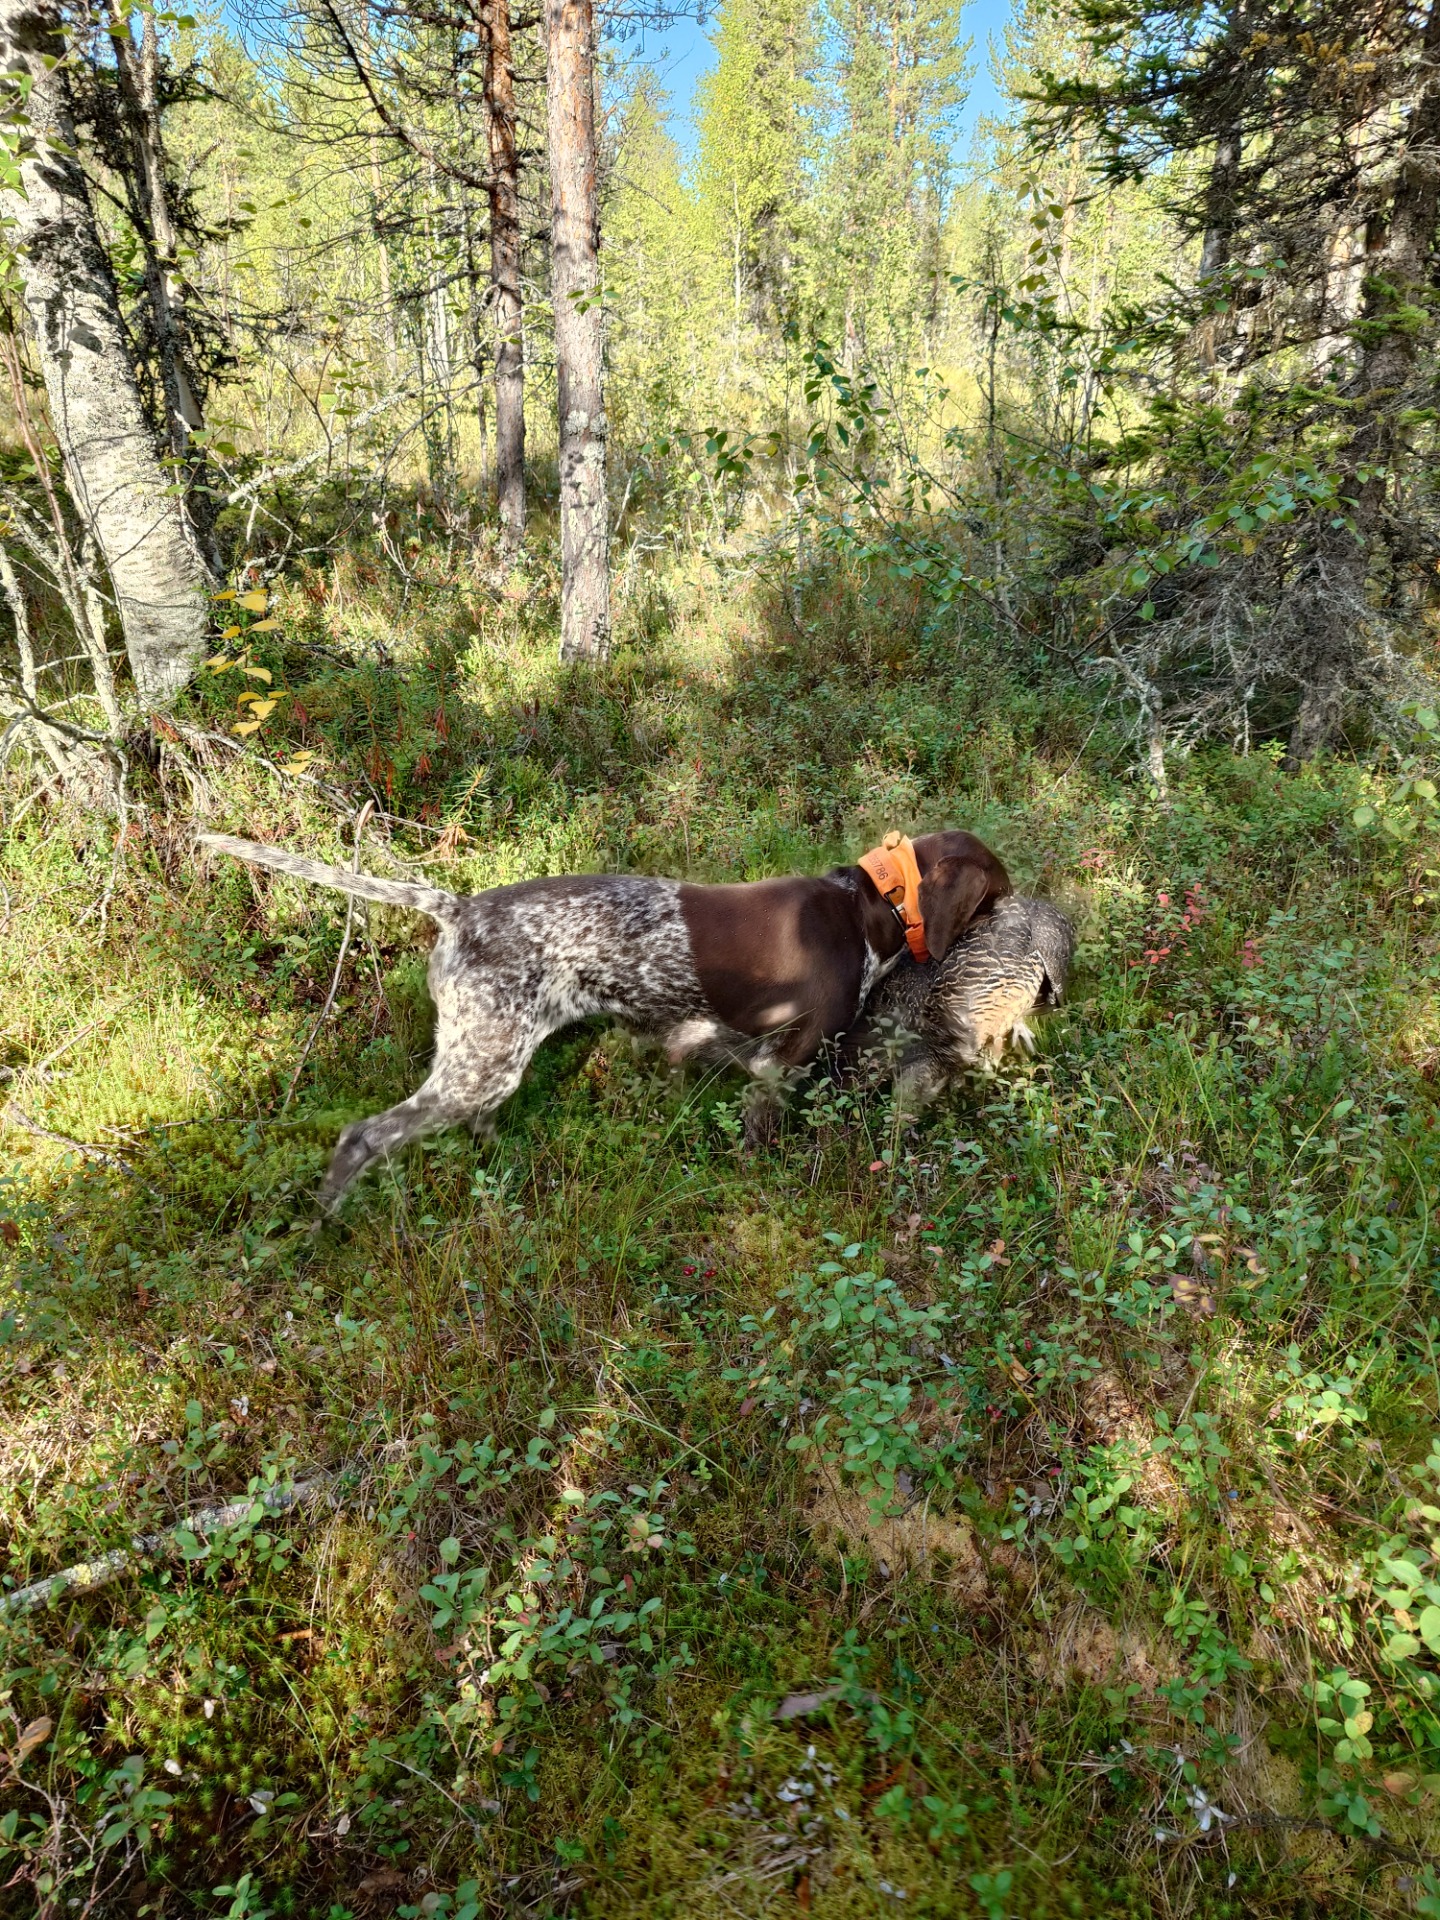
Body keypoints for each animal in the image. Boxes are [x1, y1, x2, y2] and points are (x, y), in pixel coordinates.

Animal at [198, 829, 1010, 1205]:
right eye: (998, 892)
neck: (868, 907)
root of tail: (460, 909)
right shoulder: (787, 1059)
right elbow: (764, 1130)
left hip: (488, 1058)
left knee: (476, 1121)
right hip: (479, 1062)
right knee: (365, 1135)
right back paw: (327, 1214)